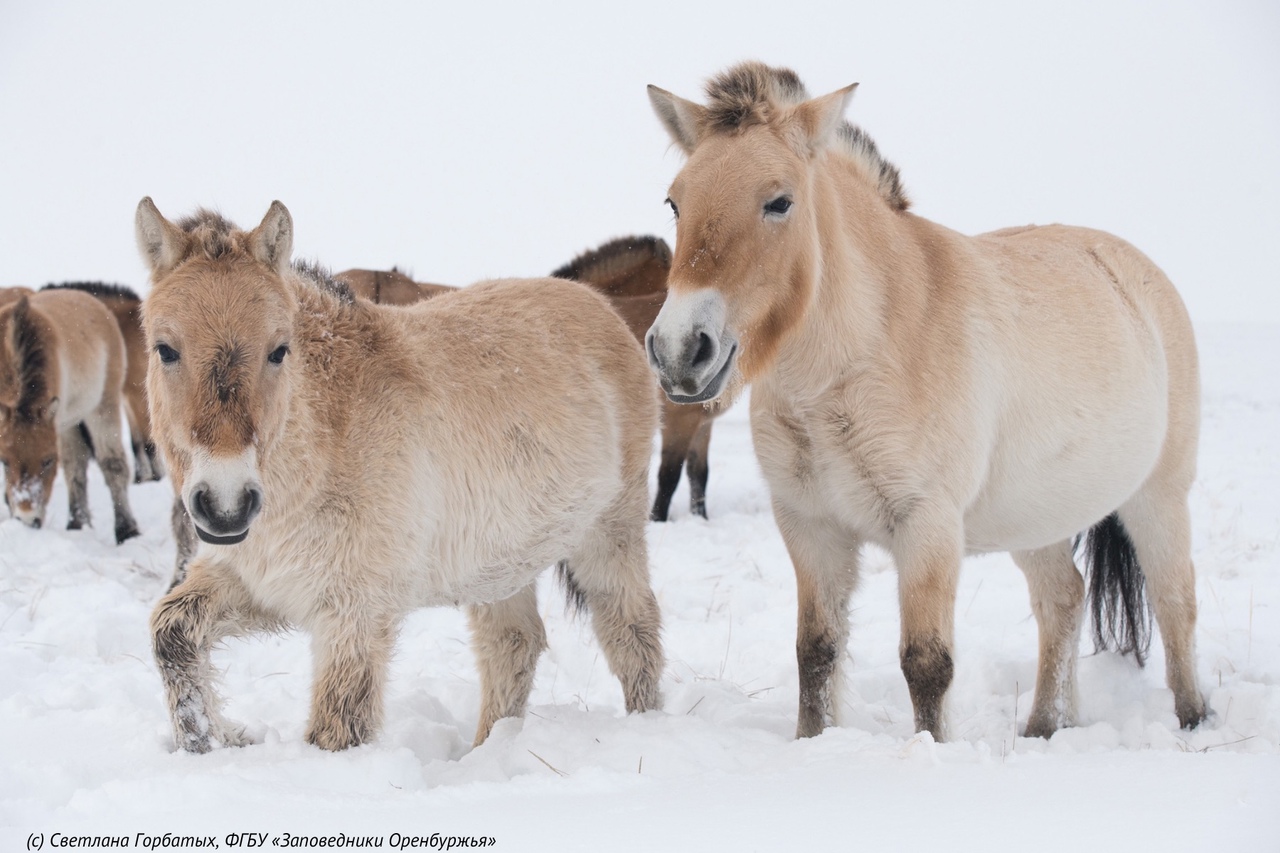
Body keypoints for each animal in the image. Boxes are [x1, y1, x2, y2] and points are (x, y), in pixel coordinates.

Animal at [0, 285, 140, 537]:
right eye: (4, 462)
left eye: (47, 461)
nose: (27, 519)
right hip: (70, 421)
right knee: (76, 467)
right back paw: (78, 523)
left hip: (102, 406)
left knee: (112, 465)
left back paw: (125, 529)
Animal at [136, 197, 665, 753]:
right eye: (165, 349)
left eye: (279, 350)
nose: (226, 505)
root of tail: (602, 309)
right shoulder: (255, 583)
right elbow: (170, 633)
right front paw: (213, 739)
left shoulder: (354, 618)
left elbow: (335, 731)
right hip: (503, 566)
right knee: (513, 646)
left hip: (609, 534)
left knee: (632, 633)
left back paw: (644, 725)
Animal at [555, 235, 727, 522]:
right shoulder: (678, 421)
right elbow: (669, 476)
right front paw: (657, 520)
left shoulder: (701, 423)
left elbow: (698, 475)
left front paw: (699, 520)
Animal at [645, 61, 1203, 737]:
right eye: (675, 202)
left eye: (779, 202)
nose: (679, 350)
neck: (855, 362)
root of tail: (1136, 270)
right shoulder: (810, 526)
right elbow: (816, 652)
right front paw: (813, 741)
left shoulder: (927, 527)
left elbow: (927, 663)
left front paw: (929, 749)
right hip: (1039, 520)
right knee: (1062, 599)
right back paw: (1044, 727)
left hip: (1159, 498)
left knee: (1175, 601)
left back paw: (1193, 720)